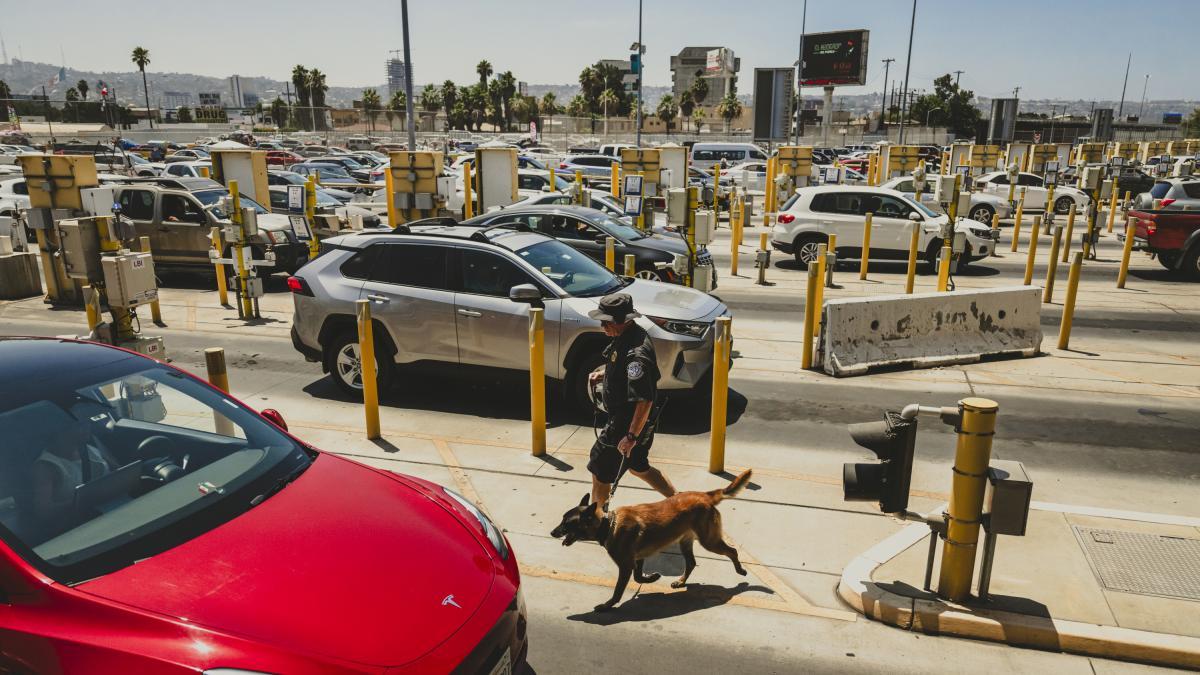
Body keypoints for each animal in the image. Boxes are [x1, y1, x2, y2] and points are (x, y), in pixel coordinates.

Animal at [549, 468, 748, 610]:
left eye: (567, 523)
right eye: (562, 519)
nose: (552, 532)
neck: (609, 524)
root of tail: (705, 495)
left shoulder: (626, 566)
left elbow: (618, 590)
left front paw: (608, 605)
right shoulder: (637, 559)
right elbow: (638, 577)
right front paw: (651, 578)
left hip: (709, 541)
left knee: (732, 551)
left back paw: (740, 570)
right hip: (685, 541)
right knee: (691, 563)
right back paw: (681, 581)